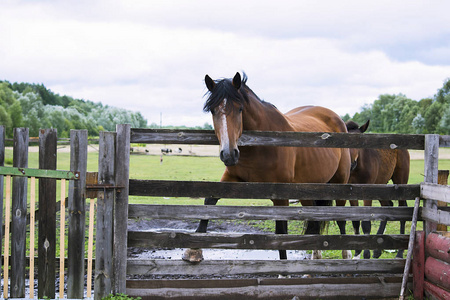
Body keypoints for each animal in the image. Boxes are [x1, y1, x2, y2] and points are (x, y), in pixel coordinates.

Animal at [183, 73, 352, 262]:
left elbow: (281, 231)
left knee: (340, 219)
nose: (228, 154)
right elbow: (209, 202)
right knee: (314, 218)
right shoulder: (231, 178)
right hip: (308, 189)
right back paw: (316, 255)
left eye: (240, 109)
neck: (261, 144)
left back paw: (346, 254)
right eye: (213, 110)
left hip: (339, 183)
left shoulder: (280, 195)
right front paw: (193, 250)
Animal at [336, 120, 410, 258]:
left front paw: (366, 254)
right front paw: (357, 253)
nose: (351, 163)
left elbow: (366, 223)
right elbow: (355, 221)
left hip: (400, 181)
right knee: (388, 206)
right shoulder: (351, 193)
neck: (357, 168)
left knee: (401, 209)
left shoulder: (367, 192)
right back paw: (377, 250)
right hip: (380, 185)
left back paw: (399, 253)